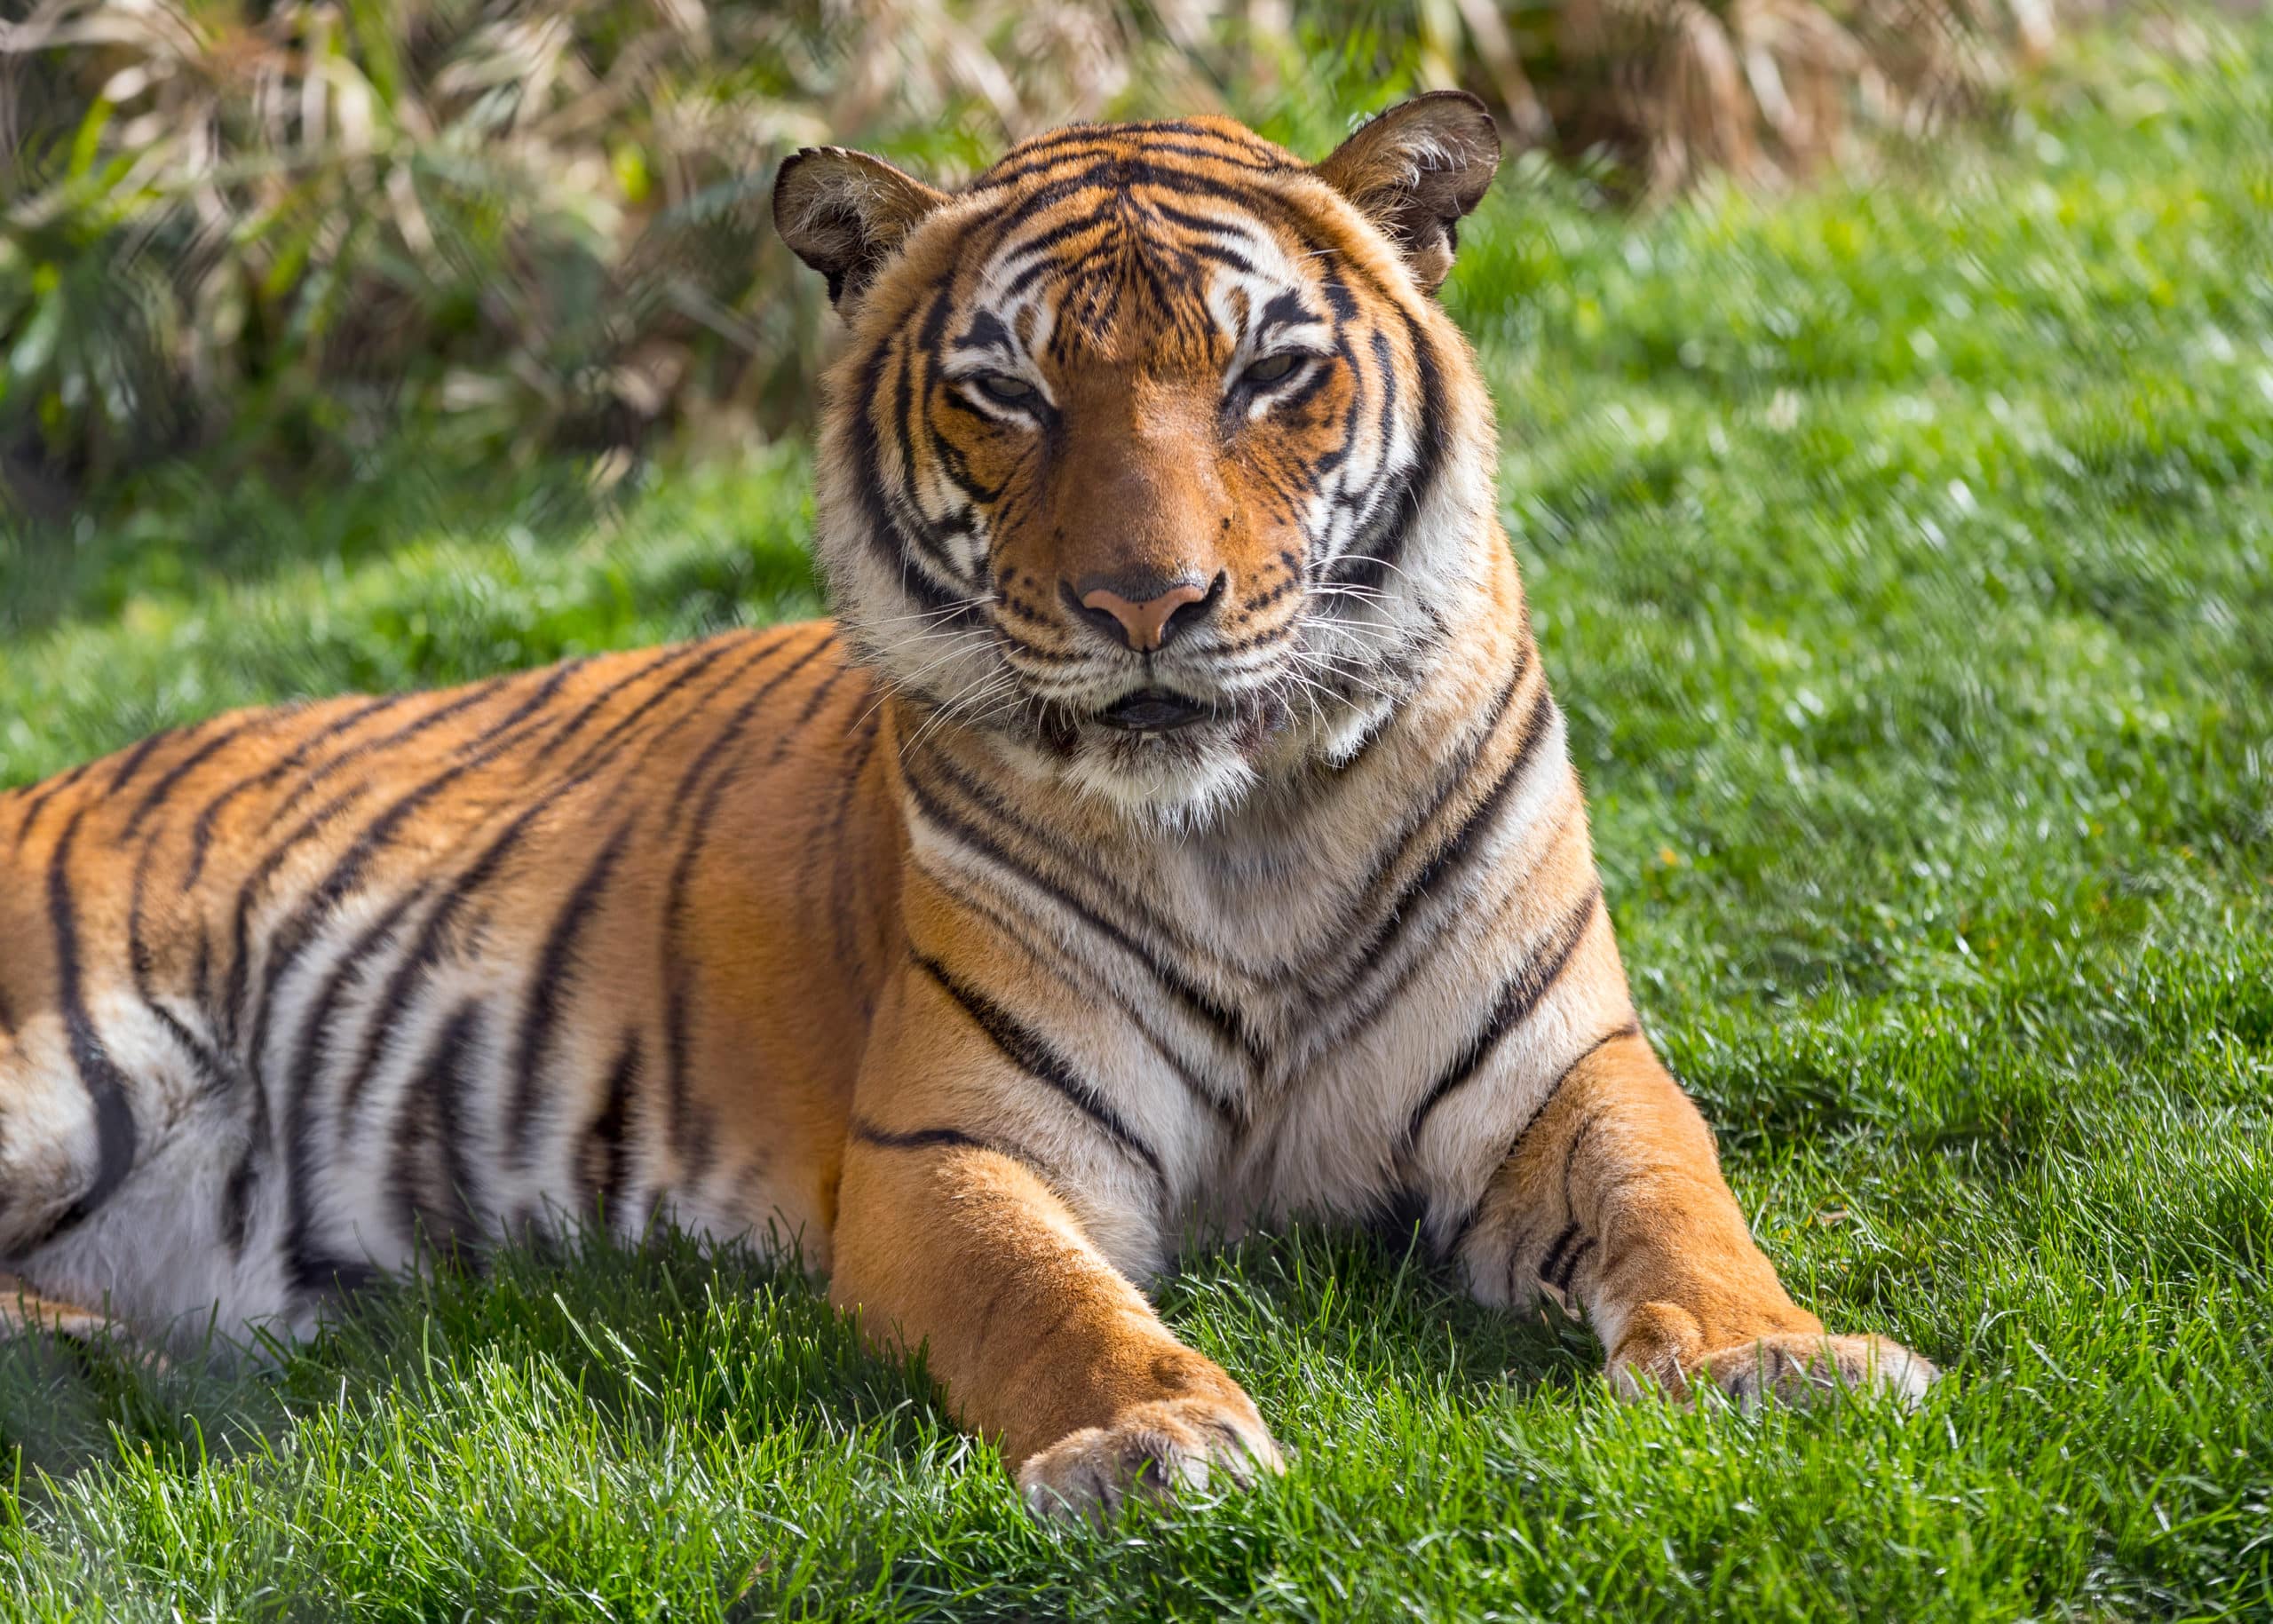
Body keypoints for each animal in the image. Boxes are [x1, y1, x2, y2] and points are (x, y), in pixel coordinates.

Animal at [0, 93, 1933, 1519]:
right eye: (1007, 390)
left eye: (1264, 372)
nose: (1149, 602)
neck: (1249, 834)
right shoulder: (958, 1141)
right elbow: (1048, 1298)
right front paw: (1152, 1439)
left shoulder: (1560, 1066)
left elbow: (1675, 1192)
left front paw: (1782, 1354)